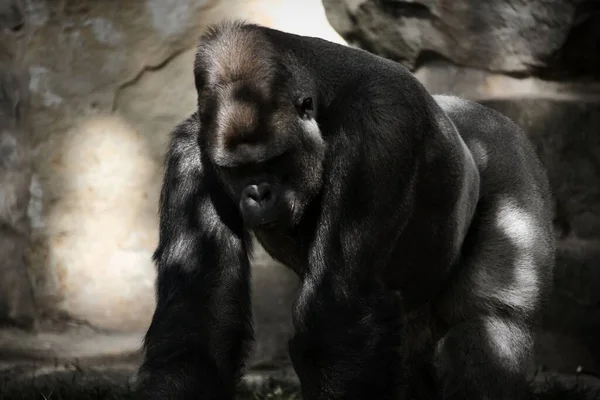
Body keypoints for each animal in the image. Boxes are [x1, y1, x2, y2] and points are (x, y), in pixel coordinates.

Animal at [134, 21, 556, 400]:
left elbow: (336, 314)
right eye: (236, 171)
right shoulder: (193, 151)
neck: (324, 98)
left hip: (510, 158)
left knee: (489, 321)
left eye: (274, 160)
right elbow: (200, 315)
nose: (257, 193)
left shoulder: (381, 127)